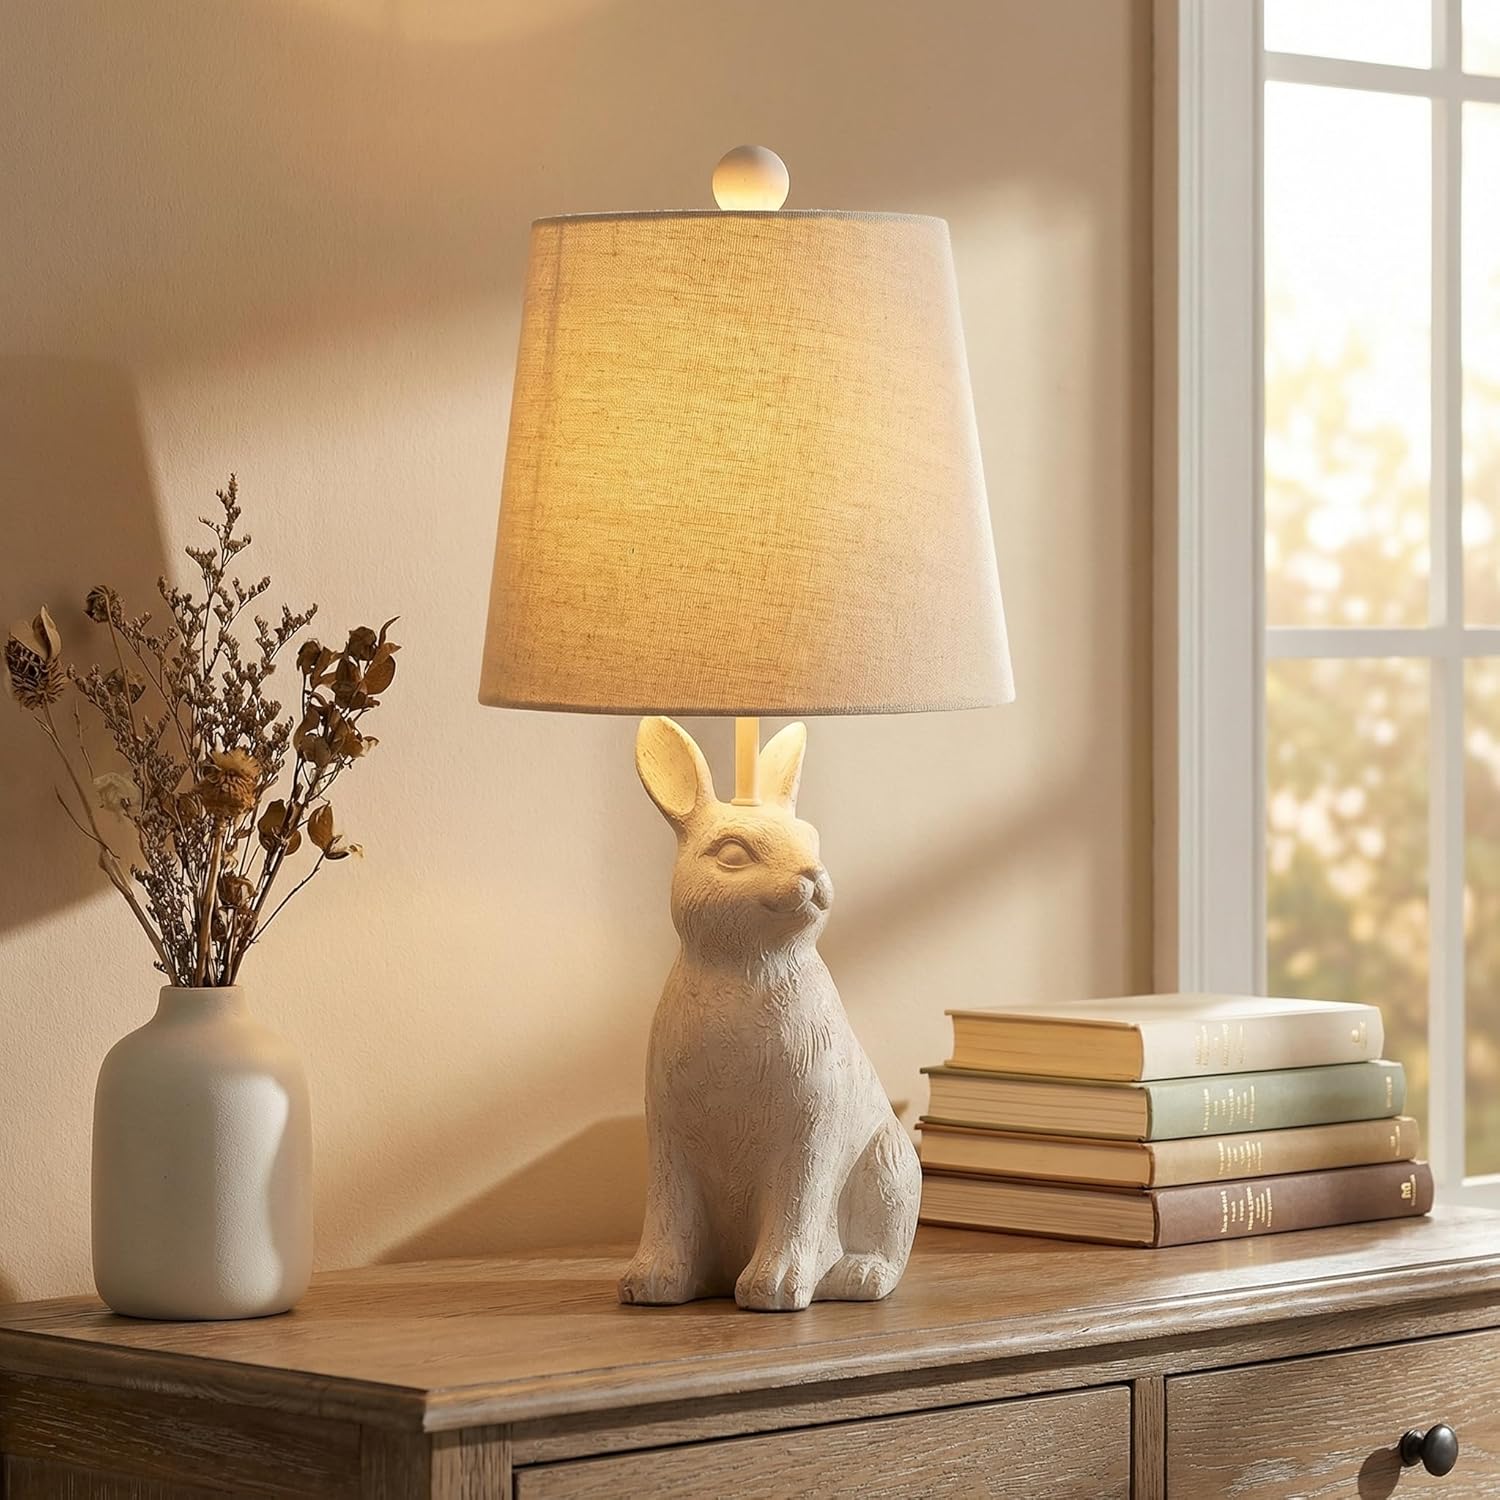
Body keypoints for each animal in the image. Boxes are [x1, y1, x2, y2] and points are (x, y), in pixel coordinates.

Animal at [618, 715, 921, 1313]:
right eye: (733, 854)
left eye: (811, 839)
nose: (814, 876)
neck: (746, 967)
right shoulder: (669, 1140)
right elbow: (669, 1211)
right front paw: (651, 1282)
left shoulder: (809, 1129)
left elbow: (796, 1205)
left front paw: (774, 1287)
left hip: (890, 1166)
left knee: (889, 1248)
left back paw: (858, 1276)